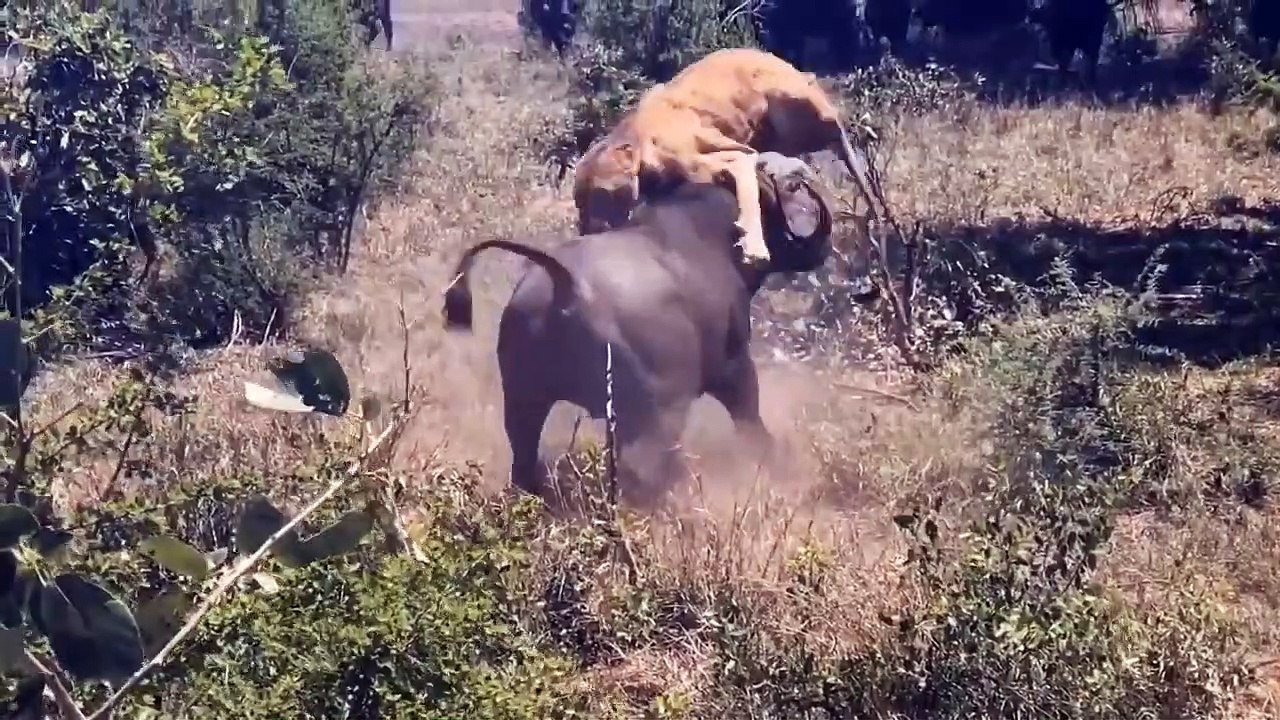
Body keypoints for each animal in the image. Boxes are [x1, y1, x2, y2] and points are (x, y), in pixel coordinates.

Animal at [442, 154, 840, 507]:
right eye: (788, 189)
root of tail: (563, 281)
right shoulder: (734, 368)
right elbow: (751, 423)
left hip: (523, 402)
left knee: (524, 462)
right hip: (652, 414)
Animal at [571, 47, 885, 270]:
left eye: (602, 194)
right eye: (578, 200)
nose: (586, 231)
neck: (636, 140)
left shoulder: (709, 158)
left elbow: (742, 169)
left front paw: (754, 247)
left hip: (788, 102)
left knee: (836, 130)